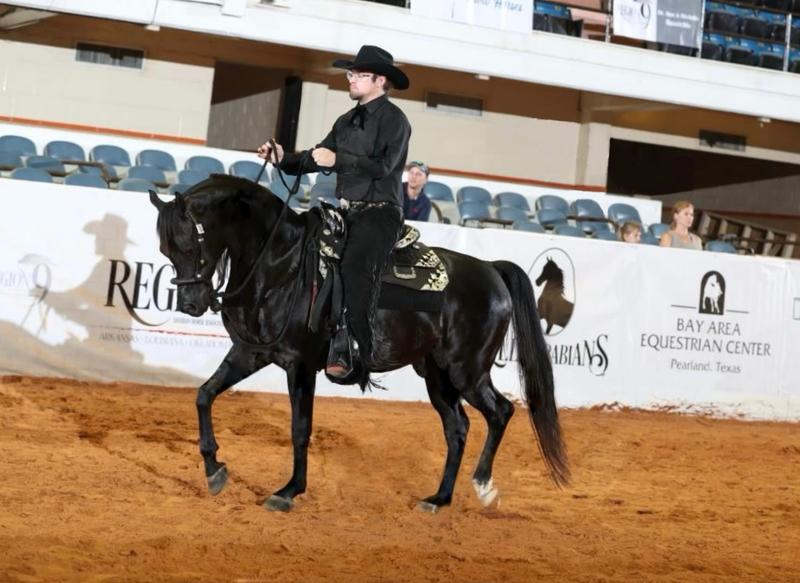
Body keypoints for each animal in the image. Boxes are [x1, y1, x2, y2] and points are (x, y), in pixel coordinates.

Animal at [149, 175, 568, 512]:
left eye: (192, 244)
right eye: (166, 250)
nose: (190, 304)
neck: (279, 265)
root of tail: (490, 269)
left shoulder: (300, 364)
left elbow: (300, 428)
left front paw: (288, 491)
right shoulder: (251, 352)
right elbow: (204, 394)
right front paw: (213, 469)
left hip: (468, 369)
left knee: (500, 412)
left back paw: (482, 487)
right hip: (438, 375)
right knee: (458, 427)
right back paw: (438, 499)